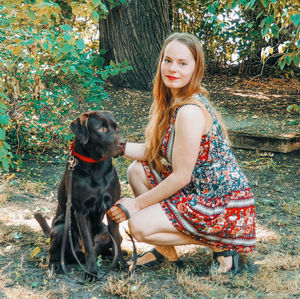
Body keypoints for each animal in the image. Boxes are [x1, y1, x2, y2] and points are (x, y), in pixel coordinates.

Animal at [36, 111, 125, 280]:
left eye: (116, 127)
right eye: (101, 129)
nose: (124, 143)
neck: (96, 167)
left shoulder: (112, 207)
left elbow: (116, 237)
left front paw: (120, 263)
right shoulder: (81, 211)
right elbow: (88, 245)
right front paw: (91, 272)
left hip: (103, 231)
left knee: (111, 243)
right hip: (61, 228)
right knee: (55, 254)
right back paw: (56, 265)